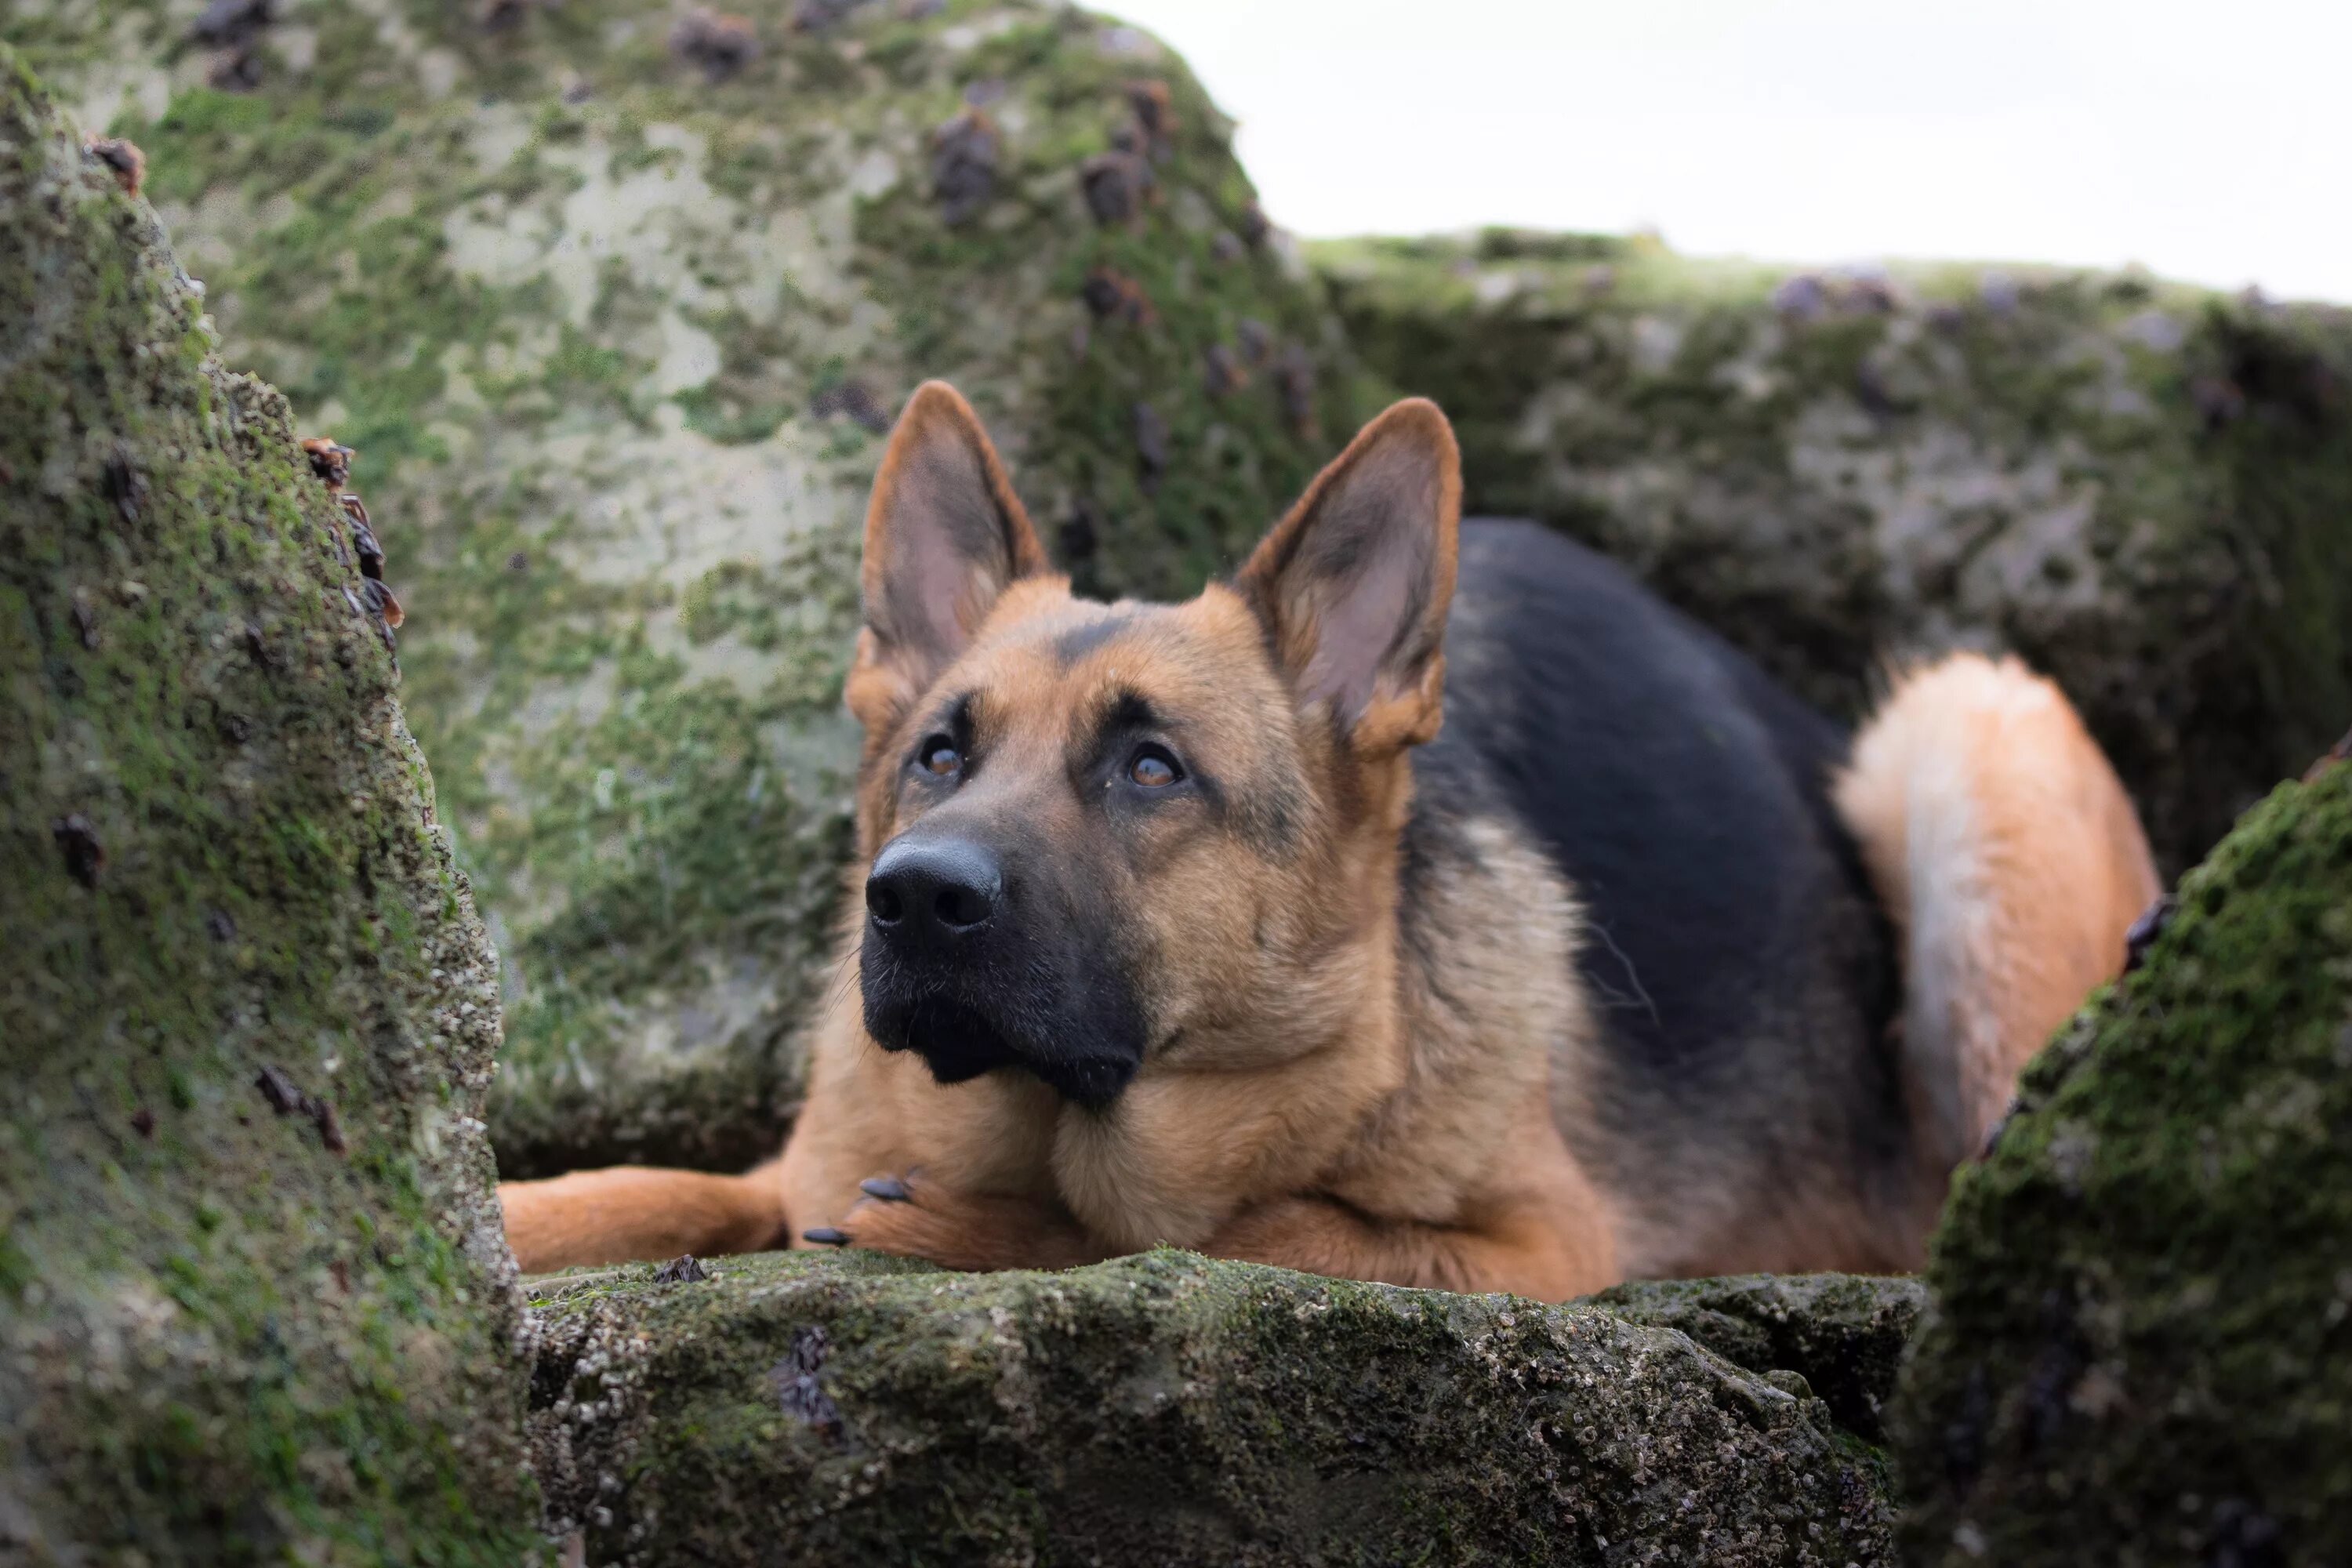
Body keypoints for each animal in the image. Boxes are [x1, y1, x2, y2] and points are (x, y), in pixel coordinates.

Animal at [496, 383, 2154, 1298]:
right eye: (939, 757)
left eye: (1152, 767)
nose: (909, 900)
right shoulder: (789, 1169)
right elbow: (648, 1191)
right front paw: (508, 1216)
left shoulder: (1536, 1254)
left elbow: (1231, 1230)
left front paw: (971, 1230)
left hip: (1971, 729)